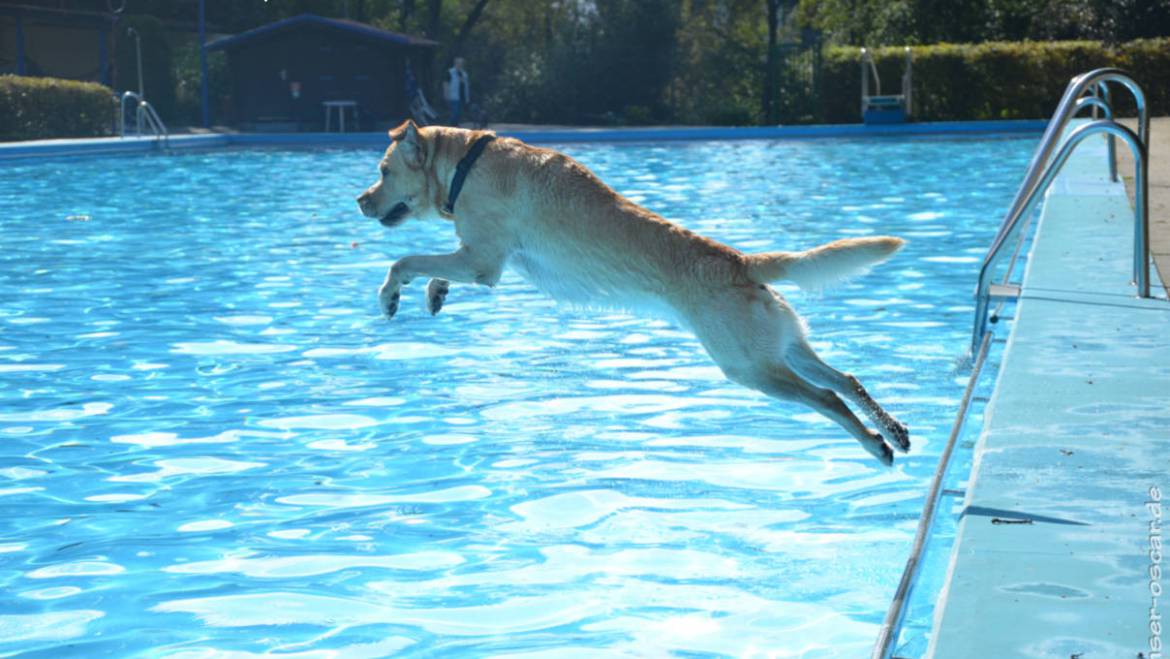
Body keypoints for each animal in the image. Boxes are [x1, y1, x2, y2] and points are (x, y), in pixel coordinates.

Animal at [355, 121, 912, 465]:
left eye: (382, 172)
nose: (359, 200)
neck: (466, 163)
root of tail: (738, 260)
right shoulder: (481, 258)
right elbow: (434, 266)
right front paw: (434, 292)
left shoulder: (483, 260)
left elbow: (407, 260)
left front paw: (391, 294)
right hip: (783, 346)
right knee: (845, 379)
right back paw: (894, 431)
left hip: (750, 367)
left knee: (826, 397)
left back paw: (875, 445)